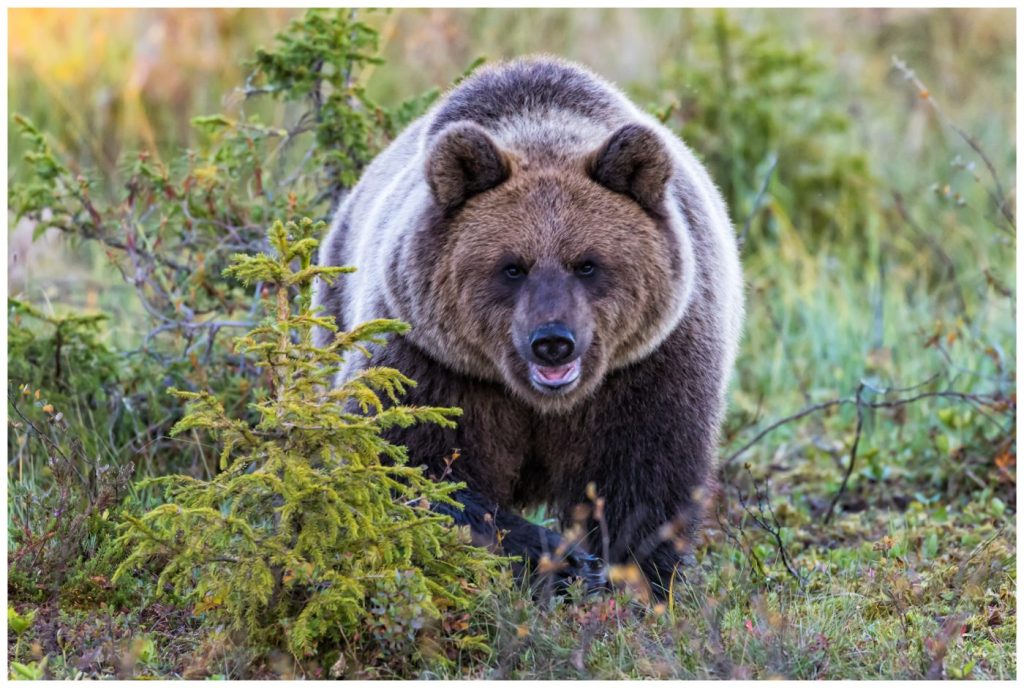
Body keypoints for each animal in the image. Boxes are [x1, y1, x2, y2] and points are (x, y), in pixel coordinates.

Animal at [311, 57, 745, 597]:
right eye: (512, 267)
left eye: (587, 264)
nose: (553, 343)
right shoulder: (430, 363)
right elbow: (411, 466)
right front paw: (557, 557)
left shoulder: (651, 366)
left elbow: (645, 484)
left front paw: (630, 581)